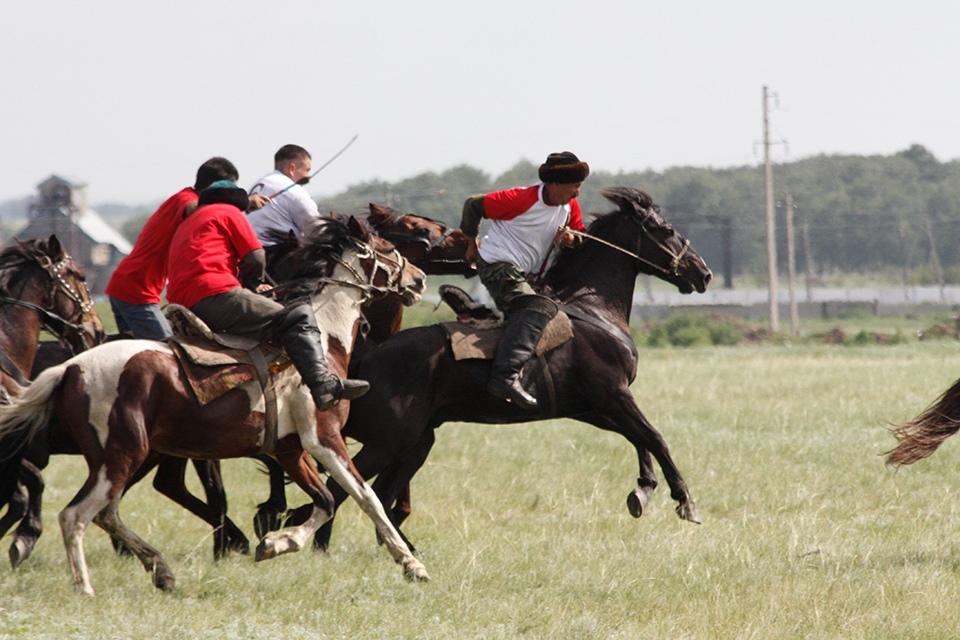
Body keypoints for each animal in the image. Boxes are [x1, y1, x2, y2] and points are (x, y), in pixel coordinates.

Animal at [270, 186, 712, 552]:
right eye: (664, 229)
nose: (703, 273)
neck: (593, 310)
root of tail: (362, 359)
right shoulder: (614, 395)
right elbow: (655, 438)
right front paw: (685, 501)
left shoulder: (593, 407)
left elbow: (639, 440)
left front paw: (644, 490)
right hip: (387, 443)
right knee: (345, 486)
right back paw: (316, 544)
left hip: (415, 441)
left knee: (375, 491)